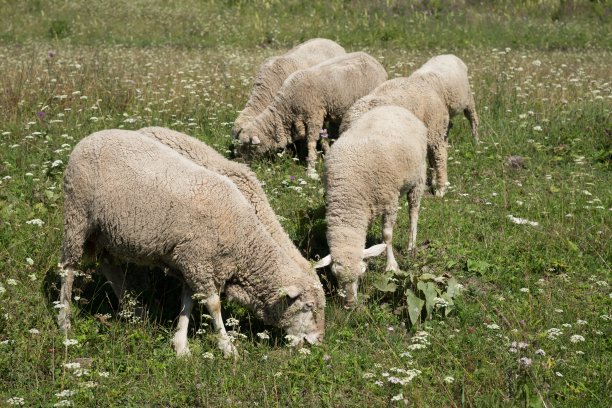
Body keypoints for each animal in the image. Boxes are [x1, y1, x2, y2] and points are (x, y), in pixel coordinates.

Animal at [56, 129, 326, 356]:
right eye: (308, 306)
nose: (318, 342)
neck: (244, 240)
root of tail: (91, 136)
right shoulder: (199, 262)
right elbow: (213, 306)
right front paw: (228, 348)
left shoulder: (191, 263)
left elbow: (188, 303)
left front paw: (180, 345)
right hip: (77, 214)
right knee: (68, 268)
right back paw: (64, 319)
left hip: (108, 231)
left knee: (109, 265)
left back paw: (136, 312)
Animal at [238, 50, 388, 177]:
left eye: (248, 146)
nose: (241, 163)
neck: (286, 107)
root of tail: (373, 59)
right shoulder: (316, 117)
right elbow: (323, 138)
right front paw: (326, 153)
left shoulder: (313, 116)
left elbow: (311, 143)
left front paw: (310, 170)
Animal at [314, 105, 428, 306]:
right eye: (336, 276)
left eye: (362, 273)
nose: (350, 304)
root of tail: (392, 106)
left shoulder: (390, 201)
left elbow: (387, 236)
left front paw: (391, 266)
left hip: (419, 176)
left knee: (414, 211)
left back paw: (411, 244)